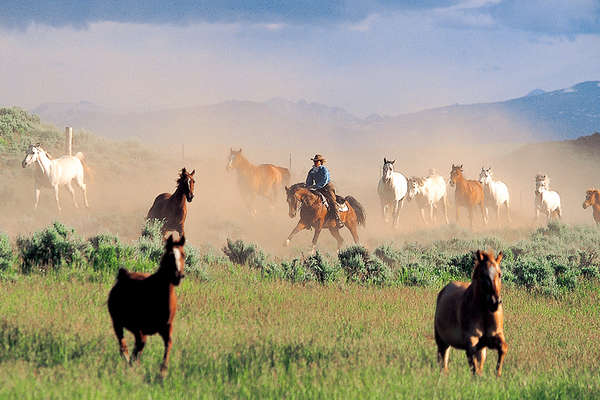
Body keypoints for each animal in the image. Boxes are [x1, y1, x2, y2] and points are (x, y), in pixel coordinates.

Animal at [106, 234, 184, 378]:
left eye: (183, 254)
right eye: (170, 255)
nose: (178, 276)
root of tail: (123, 275)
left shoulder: (166, 327)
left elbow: (168, 344)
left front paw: (163, 371)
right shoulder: (137, 328)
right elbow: (138, 345)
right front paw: (132, 364)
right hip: (117, 323)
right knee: (123, 345)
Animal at [434, 250, 508, 378]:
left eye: (499, 274)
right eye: (483, 275)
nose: (495, 302)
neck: (484, 313)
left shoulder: (495, 336)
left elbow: (503, 348)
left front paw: (497, 373)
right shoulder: (471, 341)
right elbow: (473, 366)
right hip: (441, 341)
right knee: (443, 359)